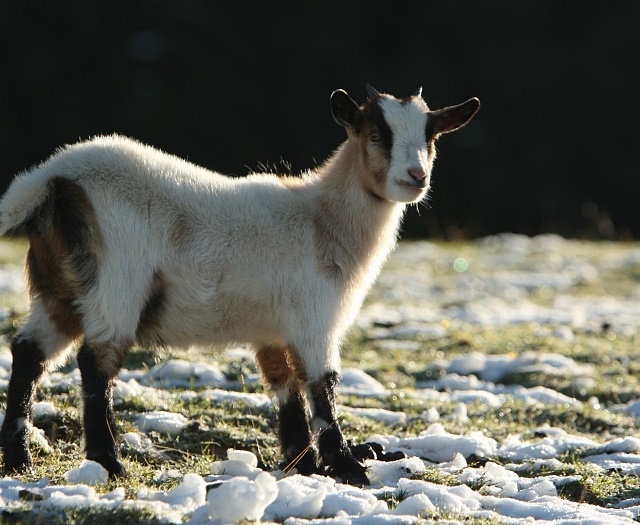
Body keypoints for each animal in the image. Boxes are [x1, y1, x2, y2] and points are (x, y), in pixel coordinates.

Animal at [0, 85, 480, 484]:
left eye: (431, 136)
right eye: (376, 132)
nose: (416, 176)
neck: (321, 220)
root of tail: (53, 177)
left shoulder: (272, 331)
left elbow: (286, 390)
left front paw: (303, 463)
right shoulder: (314, 319)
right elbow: (322, 389)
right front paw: (348, 467)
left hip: (59, 290)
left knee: (28, 352)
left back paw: (19, 459)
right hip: (116, 282)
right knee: (95, 363)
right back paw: (108, 462)